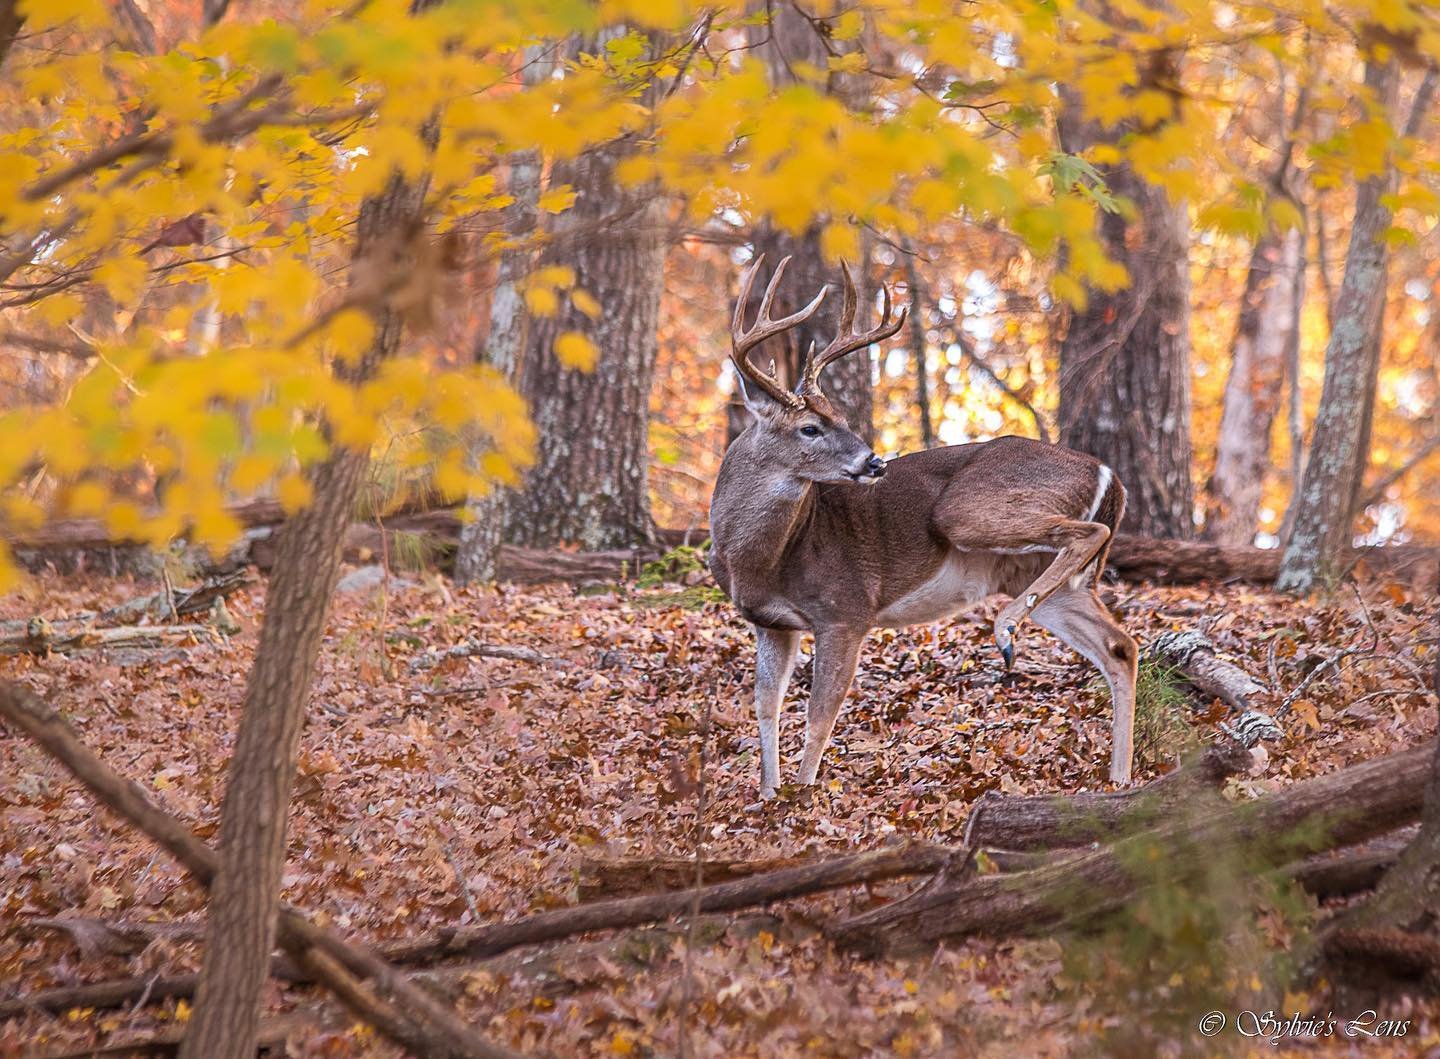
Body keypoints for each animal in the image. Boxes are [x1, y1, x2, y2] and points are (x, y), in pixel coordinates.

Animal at [708, 256, 1134, 801]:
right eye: (811, 428)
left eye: (843, 417)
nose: (874, 462)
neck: (757, 560)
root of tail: (1108, 474)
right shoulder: (770, 623)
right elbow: (765, 707)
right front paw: (767, 796)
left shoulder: (846, 610)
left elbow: (820, 717)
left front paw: (802, 799)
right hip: (1043, 578)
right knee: (1120, 646)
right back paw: (1120, 779)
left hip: (965, 512)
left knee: (1088, 536)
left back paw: (1005, 632)